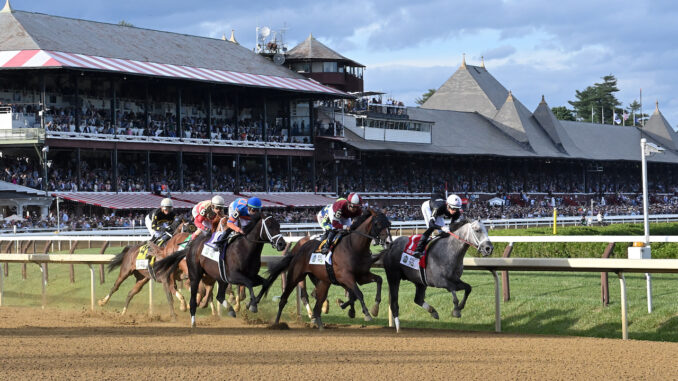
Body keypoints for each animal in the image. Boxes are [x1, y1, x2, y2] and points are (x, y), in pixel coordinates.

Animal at [155, 214, 288, 326]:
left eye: (279, 226)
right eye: (269, 226)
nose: (282, 244)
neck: (245, 249)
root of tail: (190, 247)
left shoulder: (251, 275)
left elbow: (265, 282)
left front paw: (250, 303)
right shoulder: (233, 276)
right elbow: (248, 284)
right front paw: (253, 305)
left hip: (218, 278)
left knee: (219, 296)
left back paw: (230, 310)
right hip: (194, 275)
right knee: (189, 295)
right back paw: (192, 319)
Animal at [258, 209, 394, 328]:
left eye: (389, 224)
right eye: (377, 223)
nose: (388, 242)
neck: (354, 247)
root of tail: (298, 249)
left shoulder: (361, 276)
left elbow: (378, 280)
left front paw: (374, 308)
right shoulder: (346, 277)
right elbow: (358, 293)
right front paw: (366, 313)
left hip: (322, 280)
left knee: (317, 298)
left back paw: (319, 318)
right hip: (295, 277)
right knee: (289, 298)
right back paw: (277, 323)